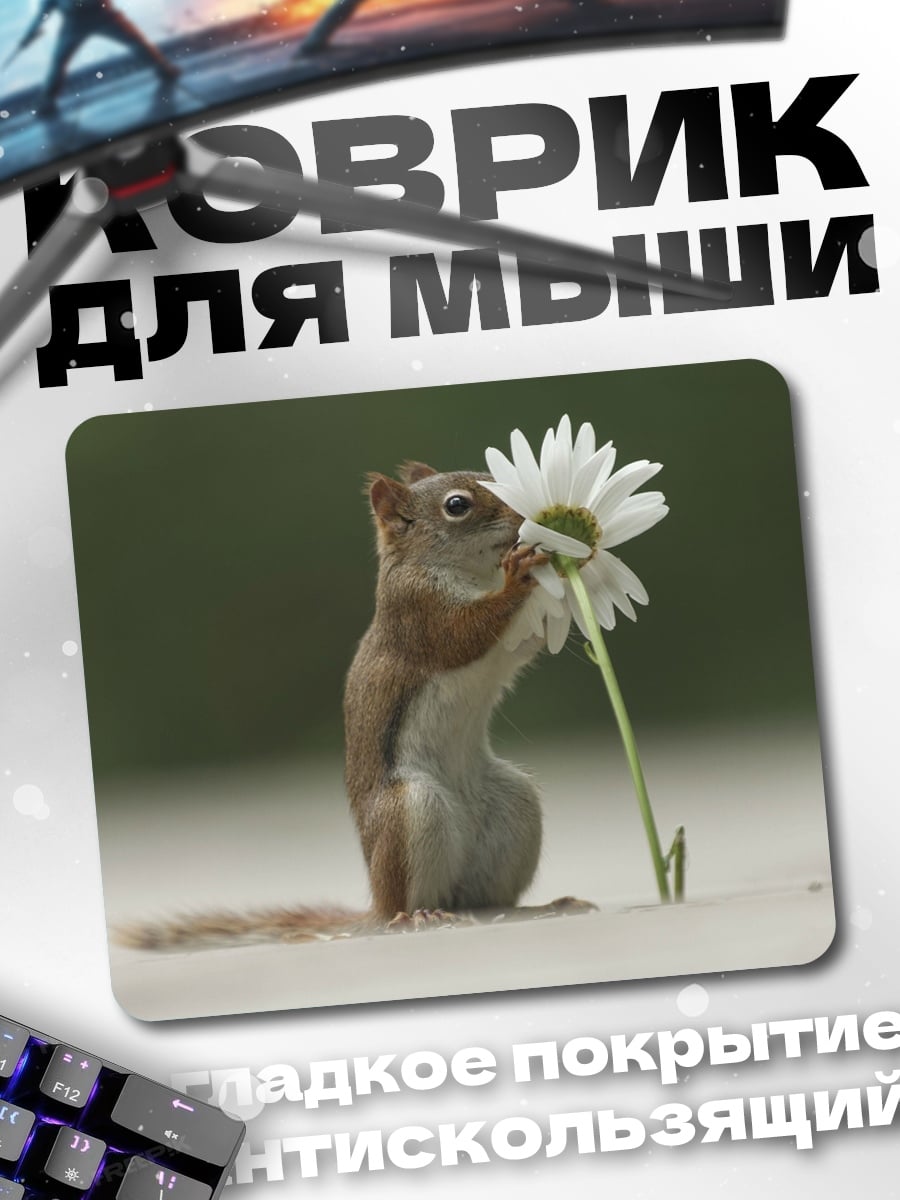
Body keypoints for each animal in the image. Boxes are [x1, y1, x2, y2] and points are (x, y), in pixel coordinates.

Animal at [119, 461, 590, 949]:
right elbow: (464, 634)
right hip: (408, 811)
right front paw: (520, 575)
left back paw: (536, 909)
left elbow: (529, 639)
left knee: (487, 903)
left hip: (513, 806)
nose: (524, 517)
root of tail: (375, 909)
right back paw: (418, 917)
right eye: (457, 505)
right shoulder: (418, 613)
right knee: (403, 905)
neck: (471, 573)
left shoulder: (507, 642)